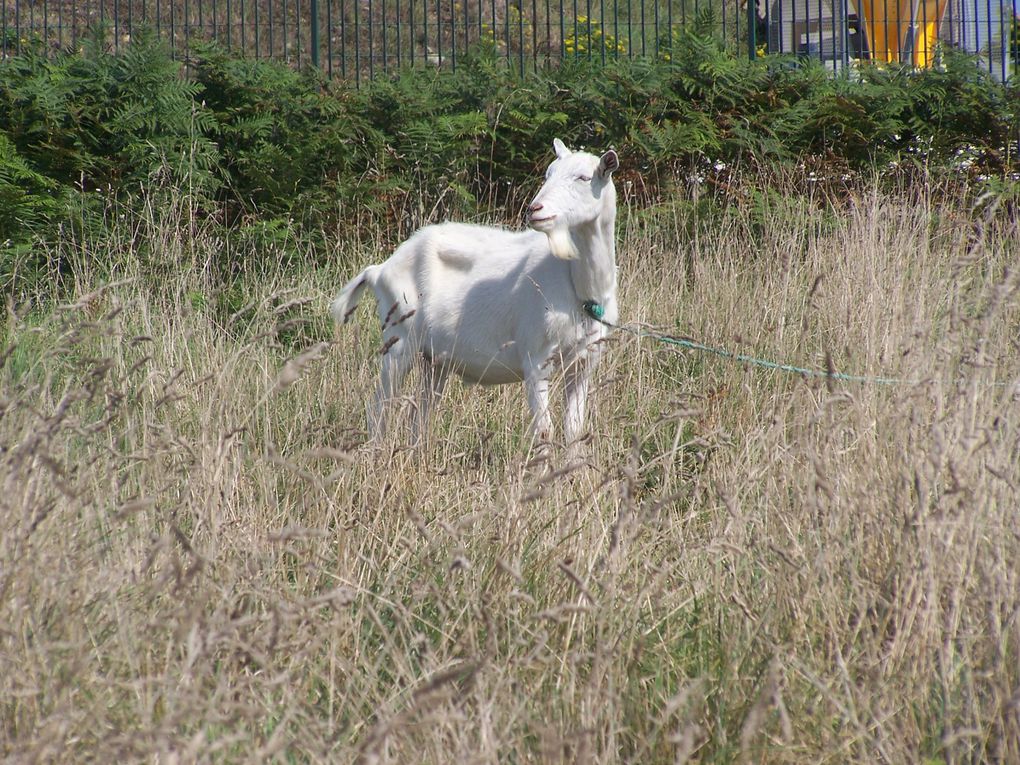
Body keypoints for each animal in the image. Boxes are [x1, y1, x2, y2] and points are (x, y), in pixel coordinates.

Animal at [332, 140, 620, 446]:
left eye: (584, 177)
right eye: (548, 174)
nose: (535, 209)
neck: (580, 286)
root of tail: (379, 270)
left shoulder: (584, 363)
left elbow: (574, 431)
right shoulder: (535, 357)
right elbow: (544, 432)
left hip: (434, 359)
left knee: (419, 416)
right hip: (399, 339)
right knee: (379, 408)